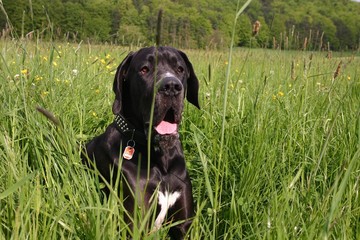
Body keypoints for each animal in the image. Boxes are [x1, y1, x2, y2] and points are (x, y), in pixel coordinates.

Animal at [83, 46, 200, 238]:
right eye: (144, 69)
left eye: (180, 69)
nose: (171, 86)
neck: (161, 158)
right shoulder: (136, 225)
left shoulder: (183, 226)